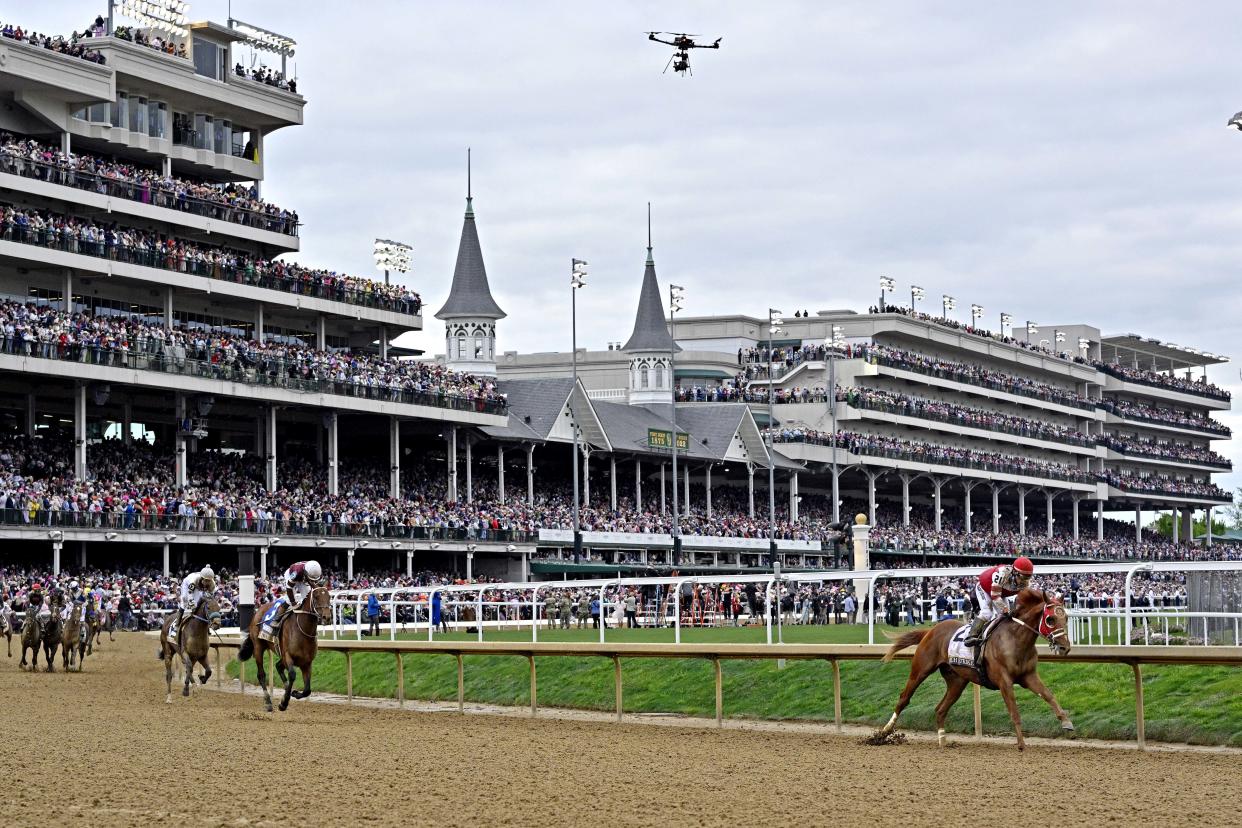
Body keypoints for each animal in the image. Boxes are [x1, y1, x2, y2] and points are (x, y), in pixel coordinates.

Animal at [237, 583, 332, 715]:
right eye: (316, 597)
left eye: (329, 596)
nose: (327, 617)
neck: (303, 630)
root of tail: (258, 610)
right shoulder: (288, 656)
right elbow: (292, 675)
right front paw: (283, 703)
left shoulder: (307, 663)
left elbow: (307, 689)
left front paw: (293, 693)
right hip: (258, 648)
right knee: (261, 675)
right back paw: (268, 702)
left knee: (278, 666)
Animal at [879, 588, 1073, 749]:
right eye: (1050, 619)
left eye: (1066, 618)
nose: (1065, 647)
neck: (1015, 639)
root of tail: (931, 630)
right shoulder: (1004, 681)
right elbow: (1014, 711)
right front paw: (1021, 744)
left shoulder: (1028, 676)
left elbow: (1048, 695)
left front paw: (1066, 722)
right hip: (920, 670)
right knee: (904, 698)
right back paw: (884, 732)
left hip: (957, 681)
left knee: (940, 709)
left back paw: (942, 739)